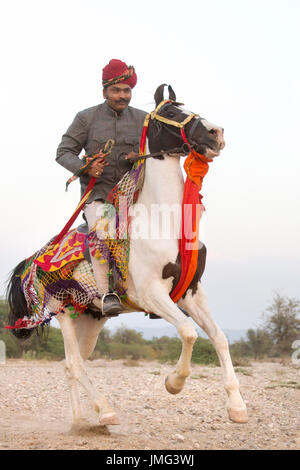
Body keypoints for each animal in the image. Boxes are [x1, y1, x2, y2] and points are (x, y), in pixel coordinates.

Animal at [7, 84, 248, 430]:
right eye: (170, 112)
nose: (216, 133)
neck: (162, 221)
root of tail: (31, 261)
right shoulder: (151, 294)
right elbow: (188, 332)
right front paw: (174, 383)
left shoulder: (191, 293)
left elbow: (219, 337)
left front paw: (237, 406)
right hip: (63, 312)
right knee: (75, 364)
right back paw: (103, 411)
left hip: (90, 320)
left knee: (73, 364)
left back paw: (82, 419)